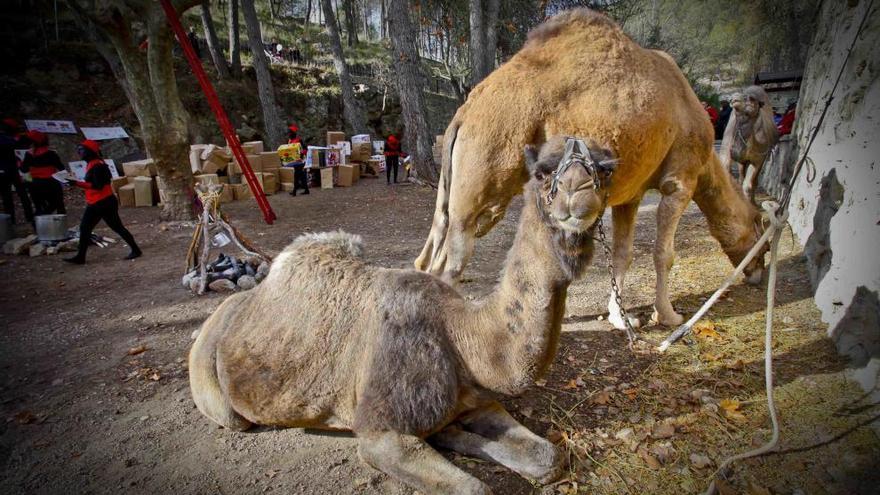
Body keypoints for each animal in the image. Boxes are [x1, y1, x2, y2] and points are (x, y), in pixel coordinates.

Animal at [189, 140, 616, 495]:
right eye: (542, 173)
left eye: (606, 167)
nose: (578, 192)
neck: (462, 337)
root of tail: (215, 320)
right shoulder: (380, 435)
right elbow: (474, 488)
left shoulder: (476, 400)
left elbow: (550, 457)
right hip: (215, 392)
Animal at [412, 7, 764, 330]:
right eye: (761, 233)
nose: (758, 274)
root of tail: (463, 114)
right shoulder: (680, 180)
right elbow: (663, 254)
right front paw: (669, 316)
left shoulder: (631, 195)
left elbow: (623, 254)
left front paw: (622, 318)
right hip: (487, 171)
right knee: (451, 261)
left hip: (456, 188)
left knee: (429, 253)